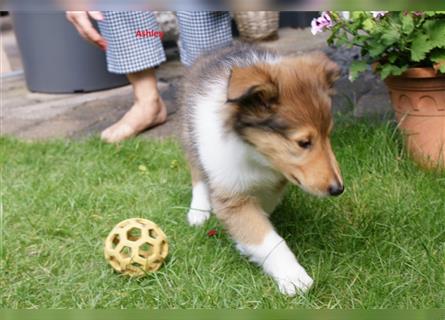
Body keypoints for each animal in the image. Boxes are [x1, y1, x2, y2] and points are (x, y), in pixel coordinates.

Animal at [179, 43, 342, 296]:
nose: (338, 189)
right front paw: (293, 277)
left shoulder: (277, 181)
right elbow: (265, 236)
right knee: (197, 173)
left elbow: (263, 211)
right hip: (190, 136)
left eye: (328, 134)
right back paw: (198, 210)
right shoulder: (232, 194)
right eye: (303, 142)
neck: (256, 153)